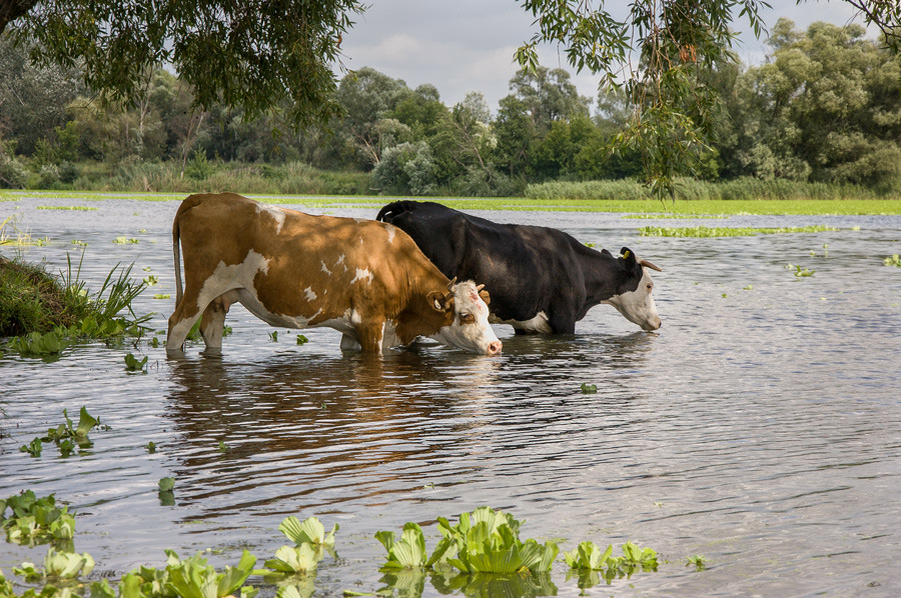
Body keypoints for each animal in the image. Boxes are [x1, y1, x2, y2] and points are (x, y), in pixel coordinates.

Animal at [165, 193, 502, 356]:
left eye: (487, 313)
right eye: (465, 315)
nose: (495, 346)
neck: (396, 263)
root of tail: (209, 195)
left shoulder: (351, 331)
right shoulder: (371, 323)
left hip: (220, 297)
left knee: (210, 331)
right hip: (199, 289)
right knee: (177, 327)